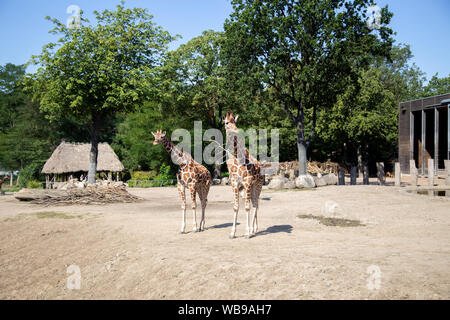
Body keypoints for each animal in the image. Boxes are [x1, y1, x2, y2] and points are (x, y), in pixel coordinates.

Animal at [223, 111, 266, 239]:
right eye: (226, 122)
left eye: (235, 122)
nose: (236, 131)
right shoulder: (235, 184)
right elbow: (236, 207)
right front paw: (232, 233)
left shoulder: (247, 183)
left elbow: (247, 207)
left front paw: (247, 232)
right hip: (252, 187)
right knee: (256, 203)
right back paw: (254, 229)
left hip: (258, 185)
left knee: (256, 204)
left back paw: (252, 230)